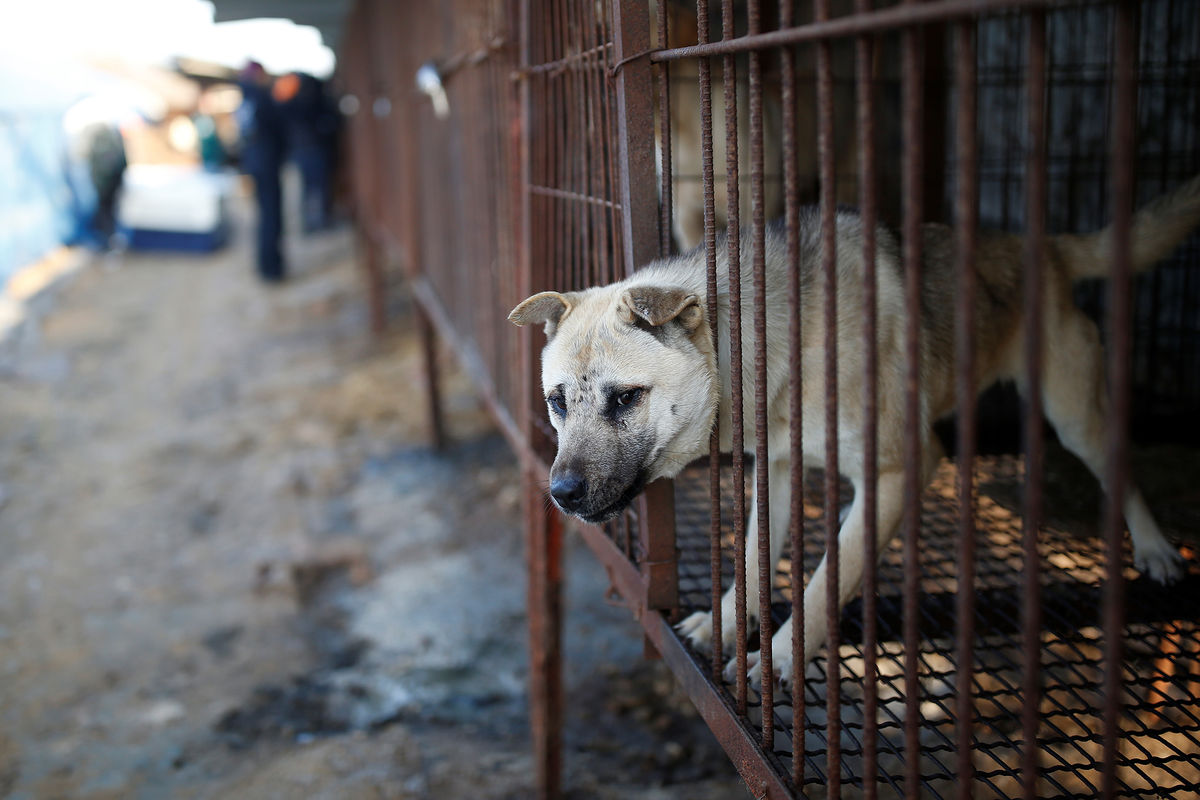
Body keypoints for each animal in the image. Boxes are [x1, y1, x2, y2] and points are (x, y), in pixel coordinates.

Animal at [508, 175, 1200, 690]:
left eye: (626, 398)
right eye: (557, 403)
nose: (560, 493)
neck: (771, 341)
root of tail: (1046, 246)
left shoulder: (900, 465)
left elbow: (823, 584)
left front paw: (780, 660)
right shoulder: (778, 469)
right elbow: (756, 558)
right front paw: (729, 623)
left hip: (1076, 416)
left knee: (1120, 471)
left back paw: (1156, 549)